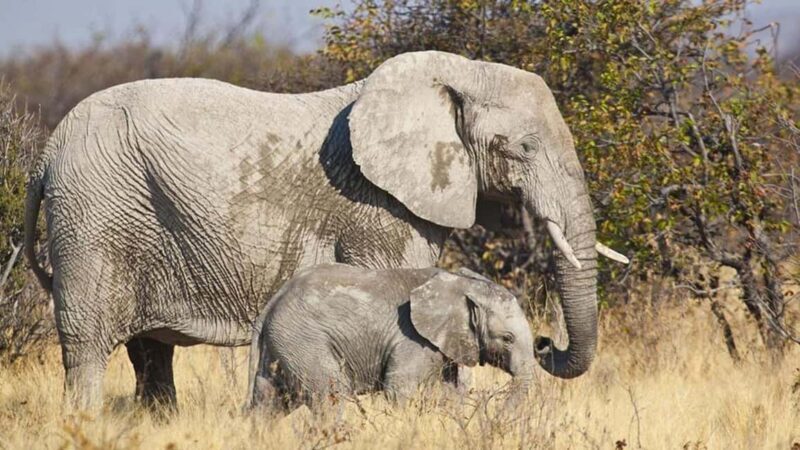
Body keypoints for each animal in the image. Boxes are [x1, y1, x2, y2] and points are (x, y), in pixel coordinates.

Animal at [248, 264, 534, 410]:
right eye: (507, 338)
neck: (461, 282)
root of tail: (274, 301)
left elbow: (451, 392)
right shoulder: (414, 340)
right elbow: (399, 390)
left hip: (283, 345)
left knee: (269, 401)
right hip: (304, 340)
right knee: (332, 396)